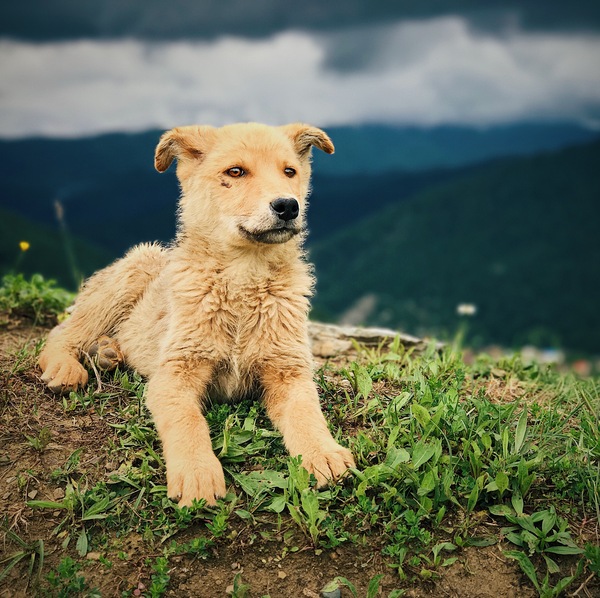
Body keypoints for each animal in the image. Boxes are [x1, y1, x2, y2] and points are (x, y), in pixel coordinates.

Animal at [38, 122, 356, 506]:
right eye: (235, 172)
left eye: (290, 172)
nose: (287, 206)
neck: (243, 280)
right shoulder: (175, 373)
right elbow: (186, 421)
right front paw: (197, 472)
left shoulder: (288, 371)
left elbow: (306, 412)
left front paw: (323, 453)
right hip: (130, 273)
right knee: (62, 333)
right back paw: (67, 366)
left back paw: (108, 352)